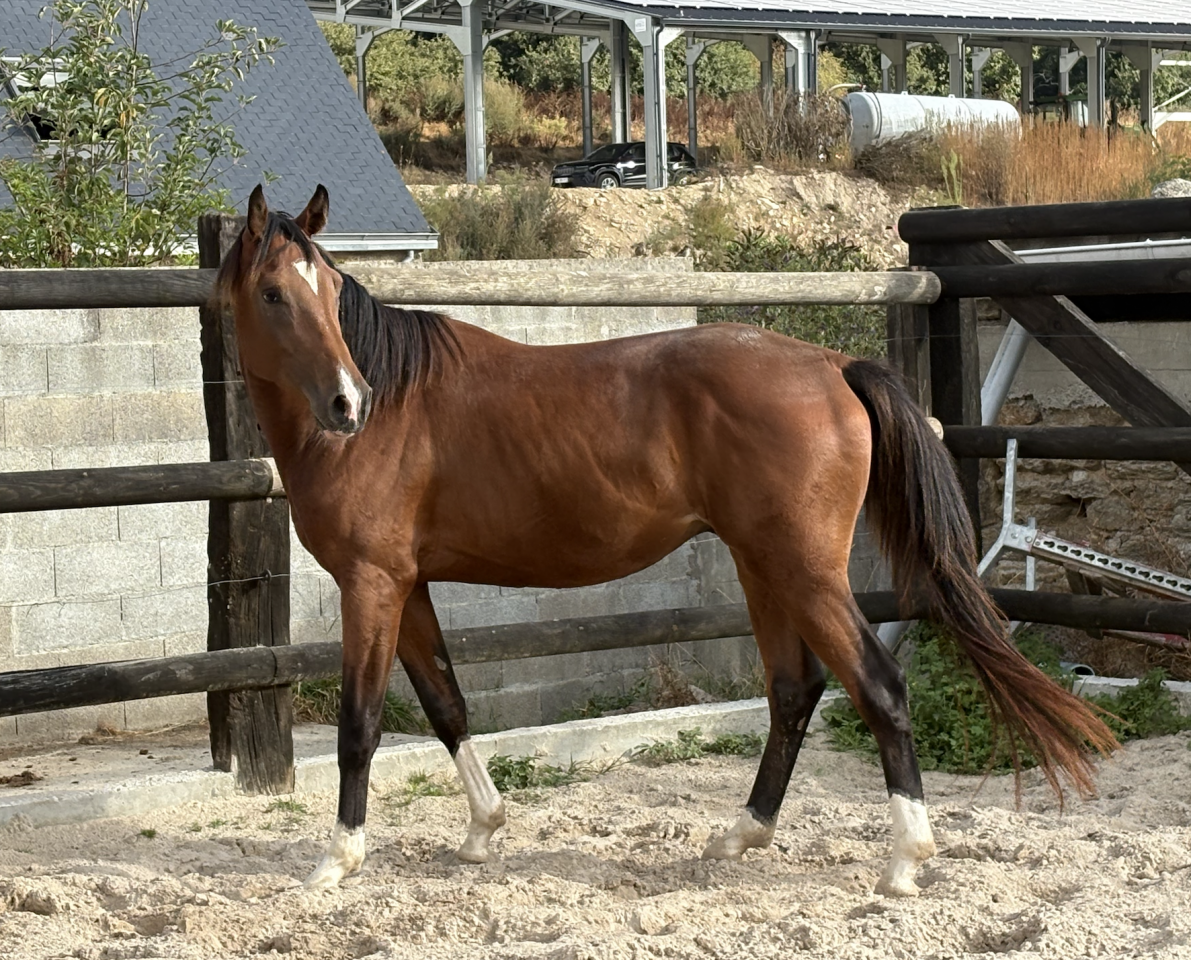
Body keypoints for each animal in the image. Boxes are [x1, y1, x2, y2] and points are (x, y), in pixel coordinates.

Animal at [214, 184, 1117, 895]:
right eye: (274, 294)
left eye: (331, 289)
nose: (346, 402)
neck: (394, 410)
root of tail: (833, 365)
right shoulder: (410, 585)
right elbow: (446, 705)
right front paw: (481, 830)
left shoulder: (372, 584)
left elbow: (360, 724)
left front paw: (335, 861)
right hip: (762, 566)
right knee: (792, 692)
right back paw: (741, 835)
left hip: (804, 572)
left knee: (880, 688)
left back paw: (902, 862)